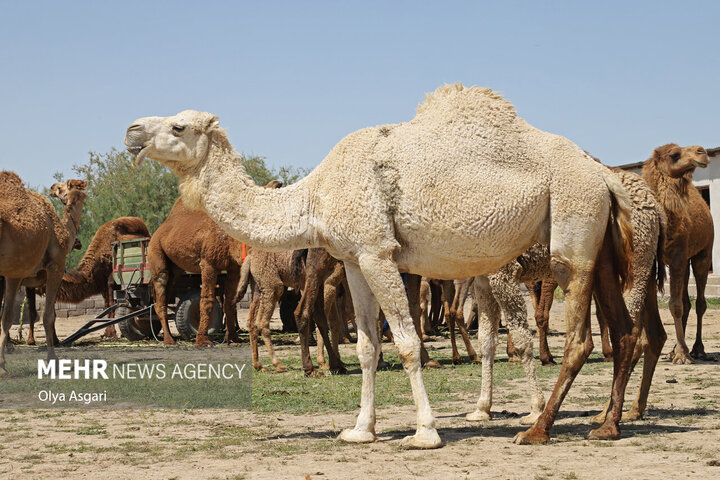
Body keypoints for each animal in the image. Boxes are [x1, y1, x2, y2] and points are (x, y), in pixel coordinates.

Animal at [0, 173, 86, 376]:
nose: (53, 186)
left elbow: (6, 318)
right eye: (63, 187)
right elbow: (48, 316)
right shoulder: (55, 267)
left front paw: (2, 365)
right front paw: (53, 360)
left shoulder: (14, 274)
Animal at [126, 84, 632, 448]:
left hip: (573, 233)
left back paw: (538, 427)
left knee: (577, 335)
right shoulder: (354, 259)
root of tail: (603, 174)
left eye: (179, 126)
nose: (131, 130)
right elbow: (368, 347)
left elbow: (406, 342)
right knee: (621, 328)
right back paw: (605, 424)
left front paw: (425, 433)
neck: (316, 194)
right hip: (594, 245)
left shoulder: (376, 252)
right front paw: (360, 430)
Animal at [644, 144, 712, 362]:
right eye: (674, 155)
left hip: (702, 255)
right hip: (686, 262)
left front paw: (683, 355)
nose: (702, 152)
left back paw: (697, 349)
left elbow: (674, 305)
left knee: (699, 303)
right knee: (687, 302)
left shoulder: (678, 257)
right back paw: (674, 349)